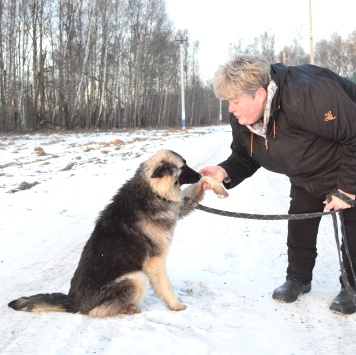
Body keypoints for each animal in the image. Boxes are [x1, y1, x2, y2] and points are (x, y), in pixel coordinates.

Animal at [9, 149, 228, 318]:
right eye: (183, 167)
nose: (198, 174)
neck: (152, 190)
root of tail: (72, 301)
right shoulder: (155, 261)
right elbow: (166, 286)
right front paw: (176, 306)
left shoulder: (177, 206)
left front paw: (217, 186)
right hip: (135, 278)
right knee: (95, 312)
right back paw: (128, 309)